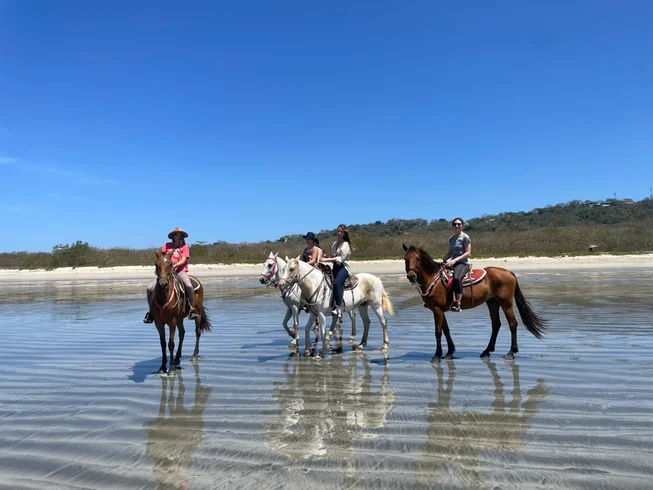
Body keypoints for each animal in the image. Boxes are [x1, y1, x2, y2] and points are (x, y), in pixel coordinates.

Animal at [402, 244, 547, 363]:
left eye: (418, 259)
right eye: (405, 258)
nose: (411, 276)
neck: (435, 280)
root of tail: (509, 272)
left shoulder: (437, 309)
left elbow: (438, 332)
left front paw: (437, 355)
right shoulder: (439, 310)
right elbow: (446, 330)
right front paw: (449, 352)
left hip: (506, 303)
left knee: (512, 324)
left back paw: (511, 352)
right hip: (492, 303)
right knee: (496, 325)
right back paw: (486, 351)